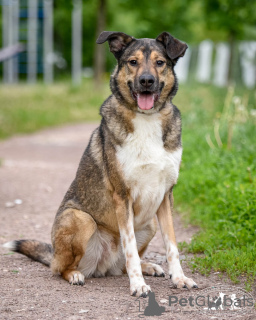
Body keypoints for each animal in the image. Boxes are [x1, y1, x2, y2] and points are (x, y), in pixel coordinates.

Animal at [3, 31, 198, 296]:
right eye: (132, 62)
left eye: (160, 63)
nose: (146, 81)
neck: (146, 119)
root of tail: (103, 265)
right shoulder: (122, 195)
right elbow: (130, 247)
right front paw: (138, 285)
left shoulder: (166, 194)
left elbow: (172, 246)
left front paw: (179, 278)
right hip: (79, 219)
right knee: (61, 268)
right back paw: (76, 274)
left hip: (149, 225)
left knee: (124, 264)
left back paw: (148, 266)